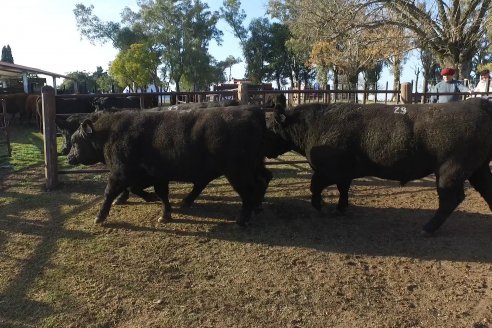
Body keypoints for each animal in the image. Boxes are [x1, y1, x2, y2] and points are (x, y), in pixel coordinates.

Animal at [67, 107, 270, 226]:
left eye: (76, 141)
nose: (69, 157)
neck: (110, 133)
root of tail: (251, 111)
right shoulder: (156, 175)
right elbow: (158, 193)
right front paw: (164, 212)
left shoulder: (120, 173)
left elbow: (109, 193)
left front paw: (100, 216)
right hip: (253, 165)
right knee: (263, 179)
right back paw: (256, 207)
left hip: (237, 171)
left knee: (248, 190)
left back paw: (243, 218)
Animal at [268, 98, 492, 234]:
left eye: (270, 127)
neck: (316, 123)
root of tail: (478, 103)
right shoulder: (344, 173)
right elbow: (343, 189)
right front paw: (341, 208)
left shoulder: (327, 171)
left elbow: (314, 186)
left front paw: (319, 207)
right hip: (478, 169)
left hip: (450, 171)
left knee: (450, 200)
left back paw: (427, 228)